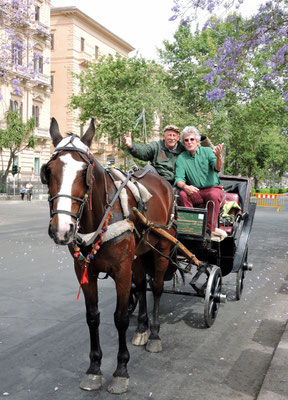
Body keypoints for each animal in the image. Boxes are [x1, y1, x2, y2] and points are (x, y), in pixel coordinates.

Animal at [40, 118, 176, 394]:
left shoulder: (121, 271)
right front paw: (94, 368)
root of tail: (164, 184)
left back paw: (154, 334)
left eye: (85, 172)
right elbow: (93, 318)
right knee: (141, 285)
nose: (61, 229)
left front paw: (121, 369)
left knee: (156, 288)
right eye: (49, 171)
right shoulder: (84, 272)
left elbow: (120, 318)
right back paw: (142, 328)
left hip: (162, 250)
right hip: (138, 255)